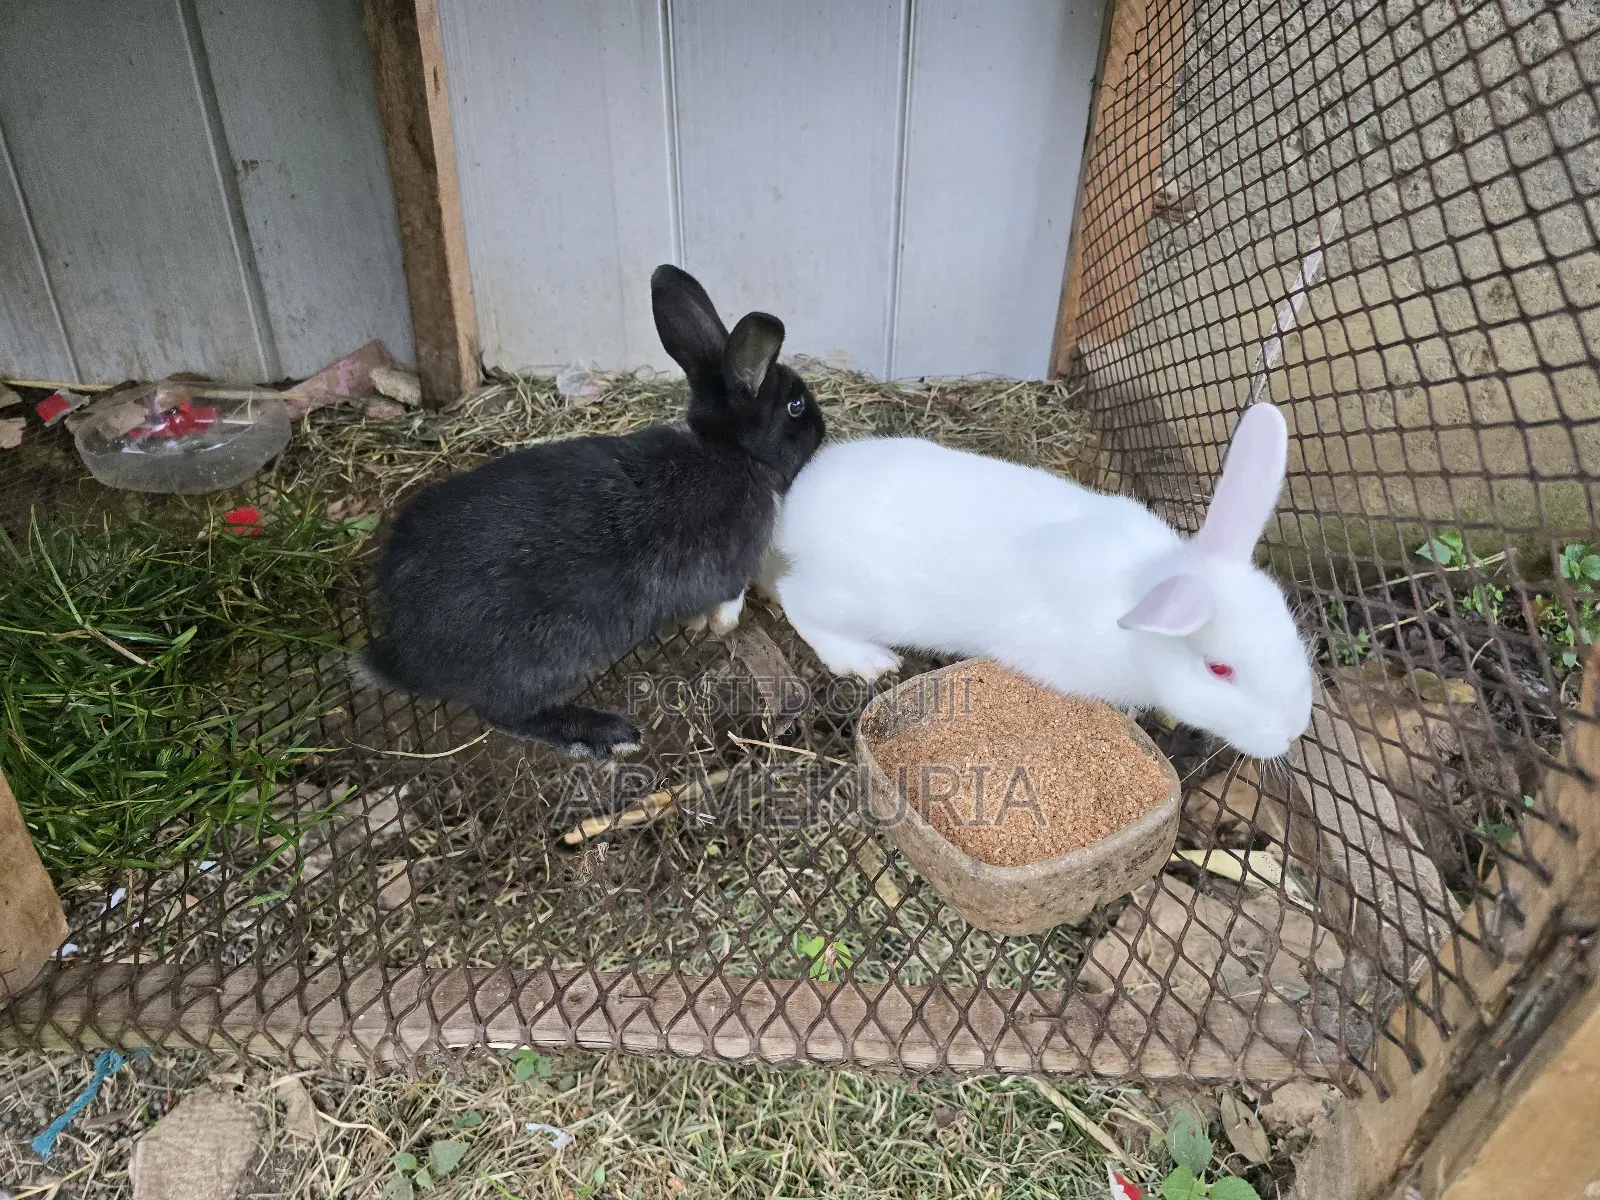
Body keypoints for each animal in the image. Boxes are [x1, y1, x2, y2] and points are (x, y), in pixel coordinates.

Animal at [354, 265, 826, 759]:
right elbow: (728, 604)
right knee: (507, 714)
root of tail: (405, 648)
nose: (823, 427)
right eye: (796, 406)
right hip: (540, 664)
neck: (732, 452)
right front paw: (720, 626)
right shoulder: (734, 569)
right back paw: (604, 733)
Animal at [765, 402, 1312, 759]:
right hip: (857, 600)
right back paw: (866, 660)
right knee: (798, 601)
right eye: (1220, 669)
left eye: (1289, 627)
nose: (1293, 730)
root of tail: (796, 512)